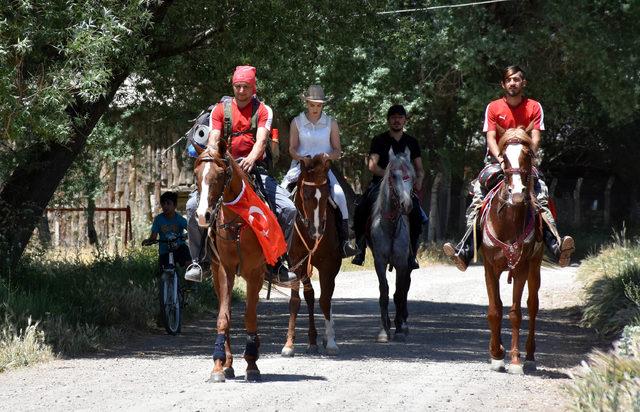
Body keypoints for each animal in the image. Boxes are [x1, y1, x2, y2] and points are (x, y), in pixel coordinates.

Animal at [194, 140, 266, 382]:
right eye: (196, 175)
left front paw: (252, 364)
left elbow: (250, 316)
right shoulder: (225, 270)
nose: (203, 215)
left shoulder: (255, 273)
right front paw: (218, 366)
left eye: (220, 175)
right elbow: (223, 318)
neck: (238, 224)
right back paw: (227, 363)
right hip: (217, 274)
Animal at [278, 154, 340, 358]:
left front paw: (331, 342)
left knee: (324, 296)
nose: (317, 230)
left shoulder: (330, 264)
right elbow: (296, 300)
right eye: (305, 195)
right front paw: (289, 344)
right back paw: (312, 340)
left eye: (327, 195)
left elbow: (325, 300)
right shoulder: (297, 262)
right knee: (310, 295)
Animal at [482, 128, 544, 374]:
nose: (517, 192)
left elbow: (516, 313)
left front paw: (515, 359)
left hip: (535, 266)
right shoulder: (489, 267)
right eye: (505, 158)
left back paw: (530, 356)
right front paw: (496, 355)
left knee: (533, 305)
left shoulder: (521, 268)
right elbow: (494, 309)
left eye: (527, 155)